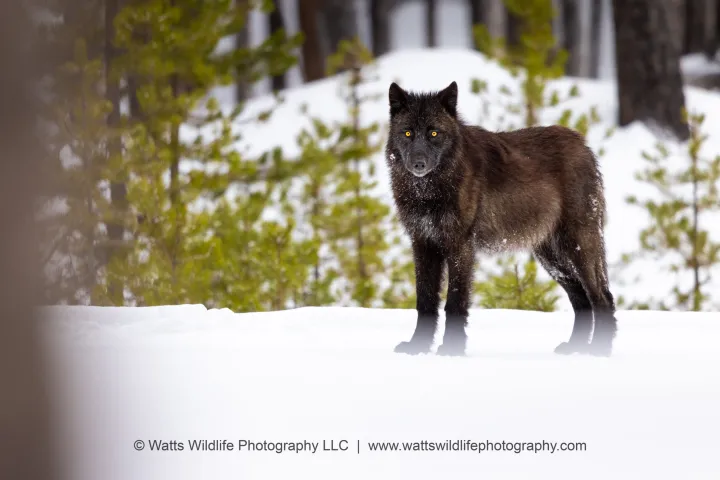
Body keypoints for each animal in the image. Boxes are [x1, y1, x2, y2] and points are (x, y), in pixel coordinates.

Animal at [385, 81, 618, 357]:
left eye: (433, 133)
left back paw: (598, 351)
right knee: (581, 300)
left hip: (577, 246)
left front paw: (451, 349)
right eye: (408, 133)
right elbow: (425, 301)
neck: (429, 190)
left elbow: (454, 303)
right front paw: (418, 347)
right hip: (552, 258)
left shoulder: (460, 246)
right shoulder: (423, 244)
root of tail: (583, 144)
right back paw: (575, 348)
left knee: (602, 298)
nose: (418, 164)